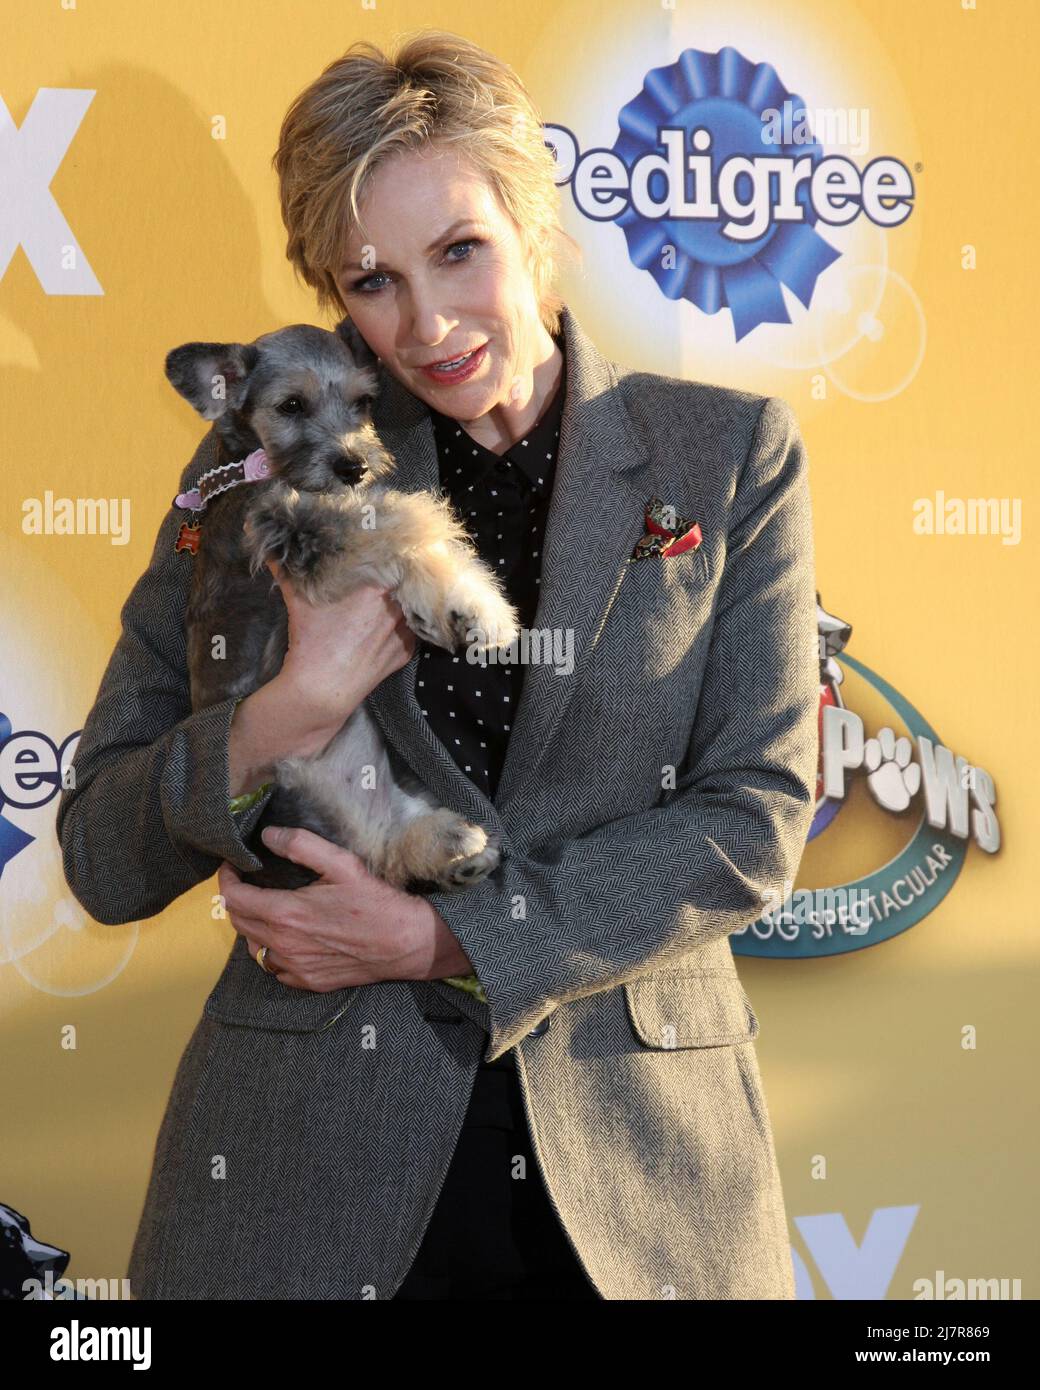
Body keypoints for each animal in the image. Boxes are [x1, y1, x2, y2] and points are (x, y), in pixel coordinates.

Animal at [164, 322, 517, 889]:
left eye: (362, 402)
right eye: (291, 405)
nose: (354, 466)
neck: (259, 468)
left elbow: (397, 519)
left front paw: (454, 606)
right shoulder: (302, 536)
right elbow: (407, 518)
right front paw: (473, 604)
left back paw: (455, 848)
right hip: (309, 792)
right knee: (374, 850)